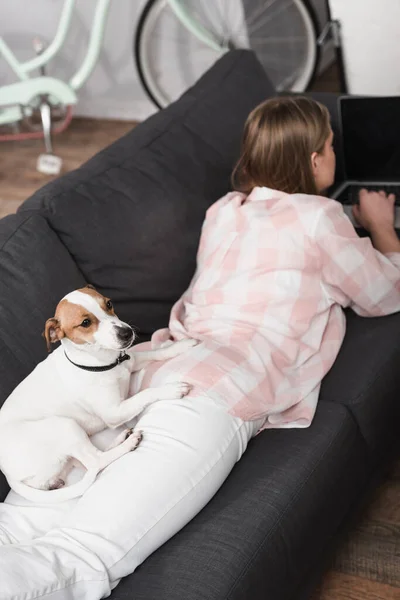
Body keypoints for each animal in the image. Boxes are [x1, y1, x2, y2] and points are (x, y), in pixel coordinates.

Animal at [0, 284, 195, 502]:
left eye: (108, 304)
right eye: (85, 323)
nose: (127, 333)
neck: (104, 363)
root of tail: (8, 475)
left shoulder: (132, 360)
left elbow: (155, 353)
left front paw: (181, 345)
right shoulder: (114, 412)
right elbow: (143, 394)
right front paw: (170, 389)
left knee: (89, 462)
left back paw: (121, 438)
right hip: (65, 426)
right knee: (95, 461)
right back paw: (127, 444)